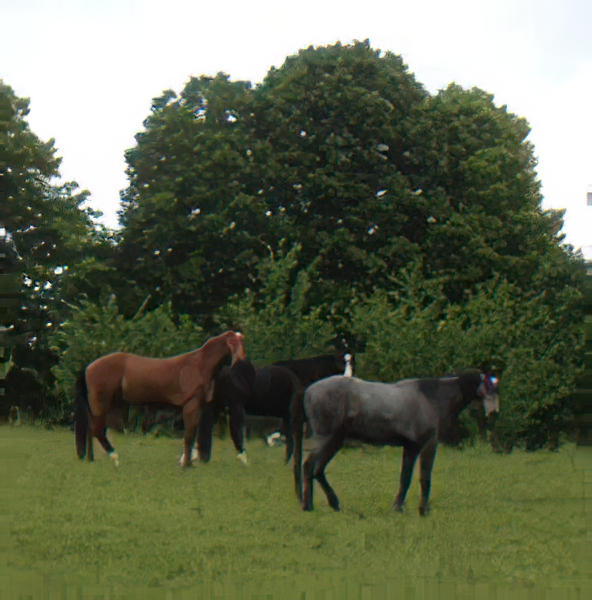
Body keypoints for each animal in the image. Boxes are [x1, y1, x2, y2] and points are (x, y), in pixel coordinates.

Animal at [74, 330, 245, 466]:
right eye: (234, 342)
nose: (242, 361)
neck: (198, 365)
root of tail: (88, 367)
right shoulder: (191, 405)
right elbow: (189, 436)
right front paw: (186, 464)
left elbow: (193, 434)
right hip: (100, 405)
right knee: (97, 430)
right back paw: (114, 457)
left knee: (90, 430)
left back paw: (90, 458)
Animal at [296, 370, 500, 516]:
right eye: (489, 388)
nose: (494, 414)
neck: (432, 398)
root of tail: (309, 392)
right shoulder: (427, 444)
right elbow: (424, 478)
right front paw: (422, 510)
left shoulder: (411, 447)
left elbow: (405, 477)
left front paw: (398, 507)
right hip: (327, 439)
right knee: (309, 466)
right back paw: (308, 505)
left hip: (335, 442)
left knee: (317, 470)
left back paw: (333, 503)